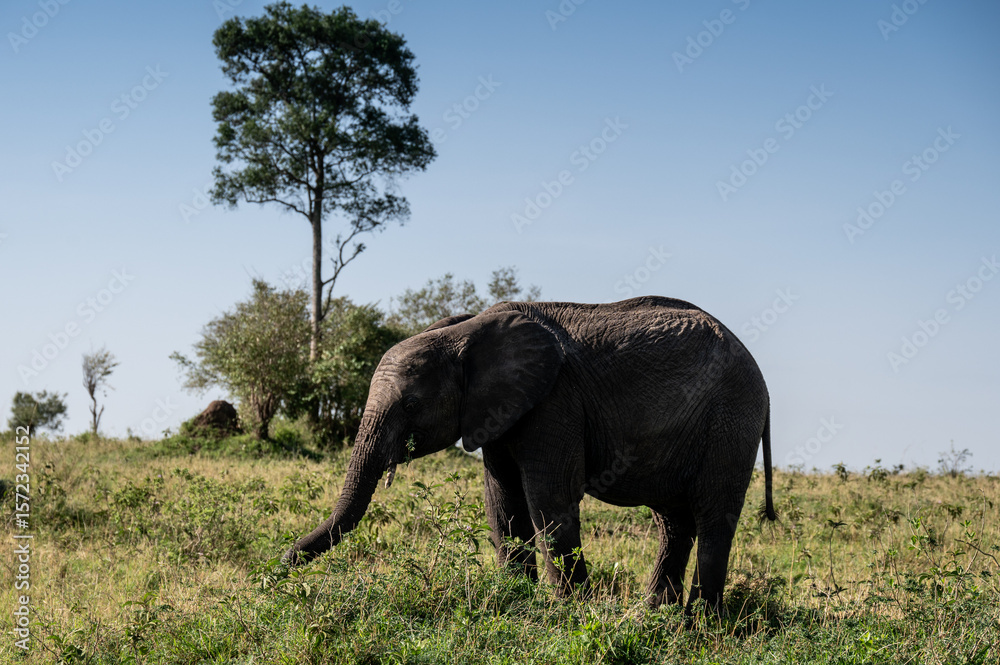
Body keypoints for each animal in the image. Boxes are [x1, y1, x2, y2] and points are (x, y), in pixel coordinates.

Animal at [284, 295, 776, 613]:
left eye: (411, 405)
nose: (279, 565)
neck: (467, 332)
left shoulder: (555, 401)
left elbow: (548, 500)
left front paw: (569, 613)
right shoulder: (499, 410)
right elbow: (502, 502)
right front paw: (516, 601)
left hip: (731, 420)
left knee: (713, 518)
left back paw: (699, 624)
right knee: (672, 522)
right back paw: (654, 615)